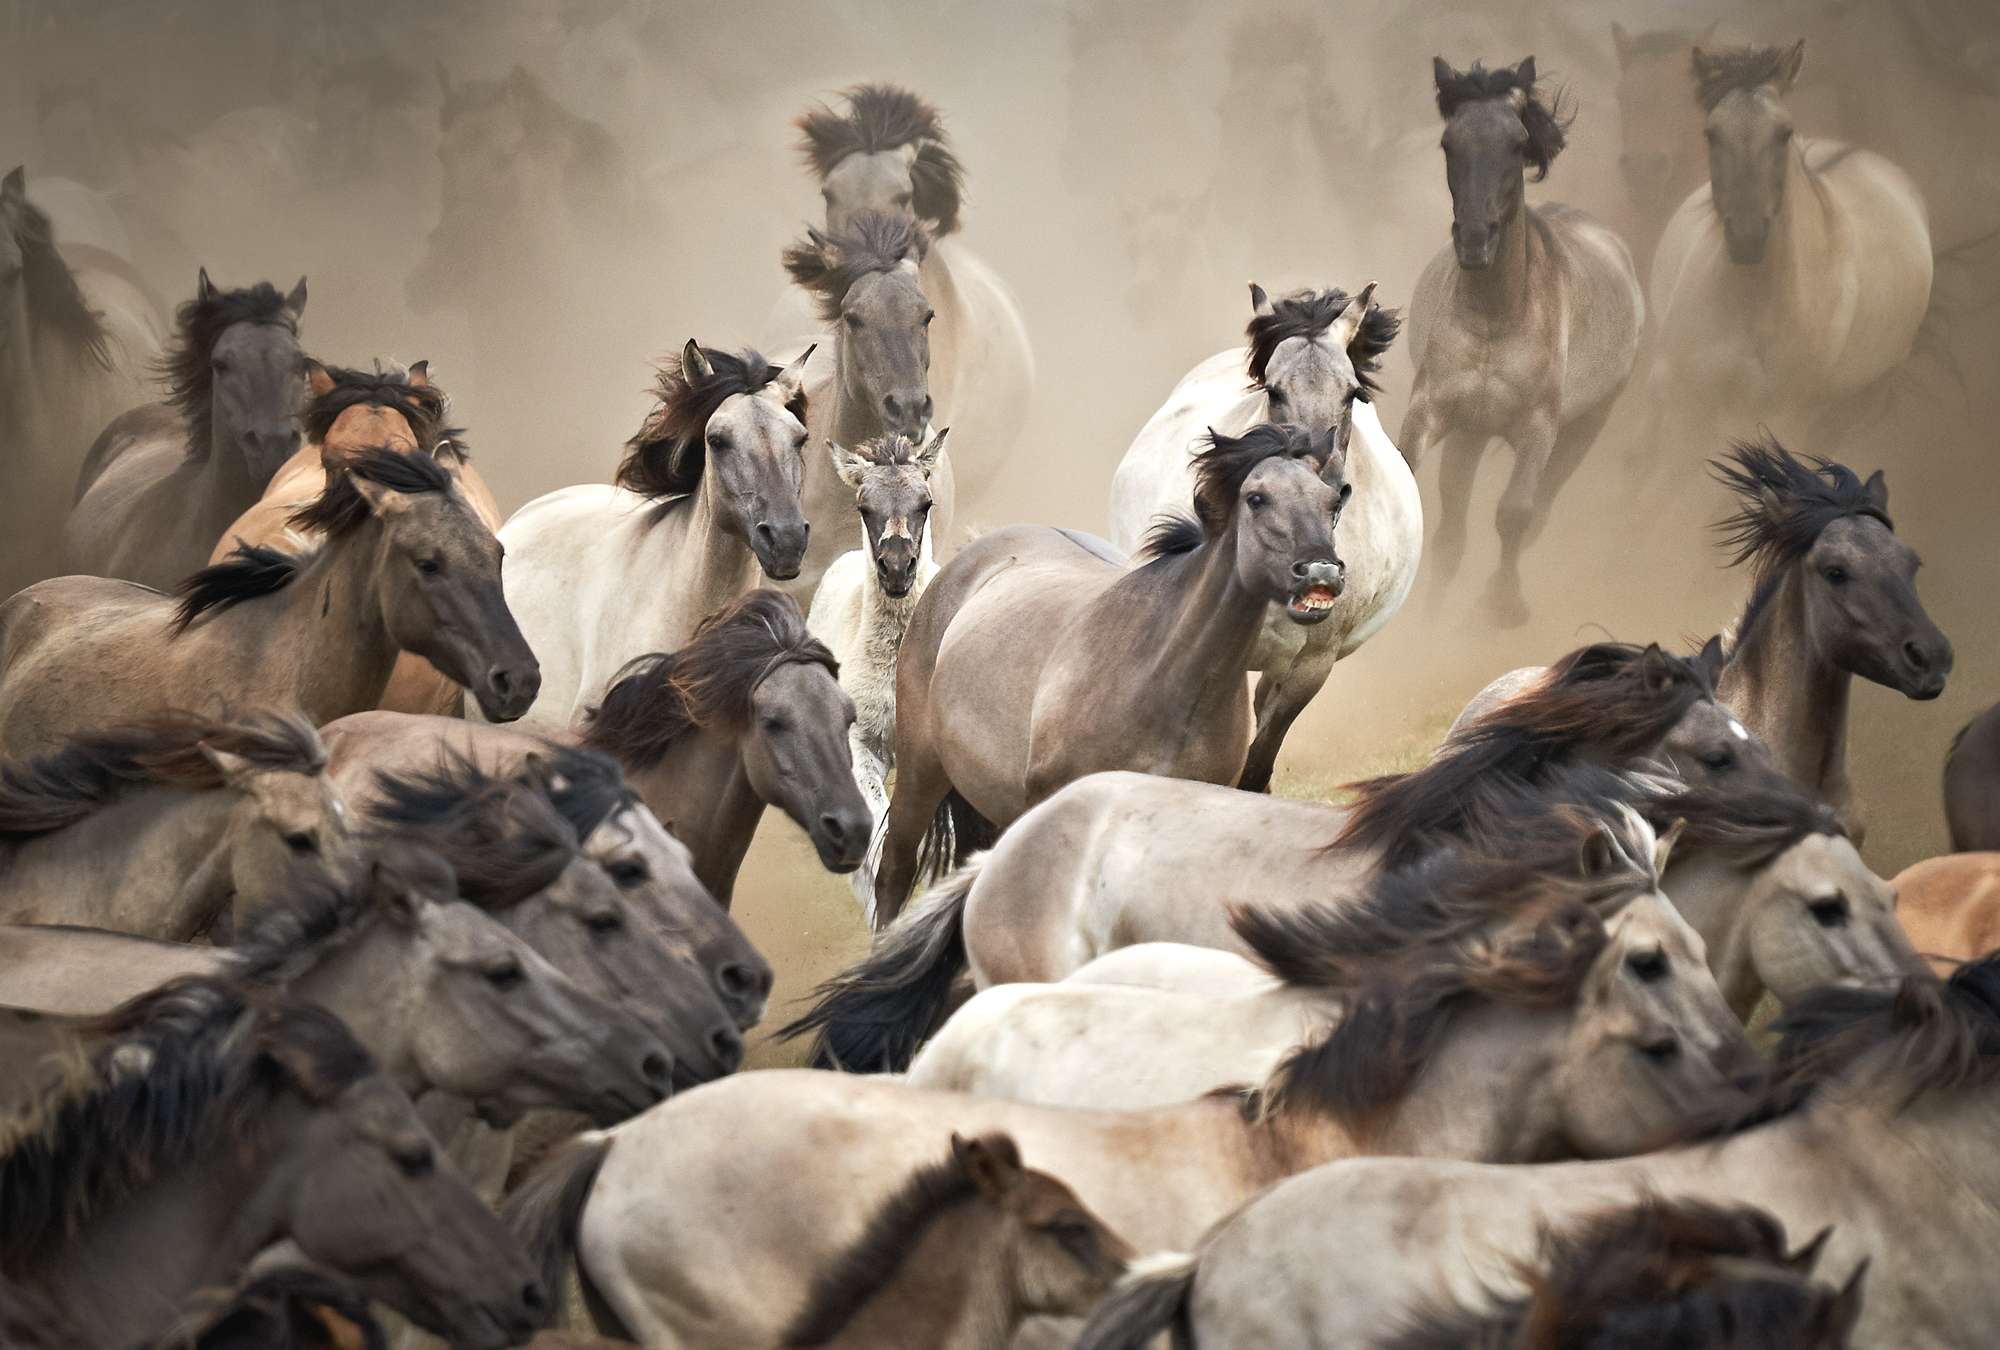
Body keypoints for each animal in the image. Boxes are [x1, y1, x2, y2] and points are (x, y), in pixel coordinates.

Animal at [871, 423, 1349, 927]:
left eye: (1331, 501)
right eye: (1257, 498)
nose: (1321, 571)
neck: (1163, 680)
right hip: (921, 767)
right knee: (895, 870)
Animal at [1401, 58, 1644, 626]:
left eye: (1516, 142)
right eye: (1449, 142)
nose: (1474, 239)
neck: (1495, 317)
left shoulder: (1538, 428)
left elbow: (1515, 514)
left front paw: (1501, 606)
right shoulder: (1435, 409)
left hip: (1585, 426)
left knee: (1540, 511)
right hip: (1470, 434)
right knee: (1452, 536)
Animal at [1643, 42, 1933, 460]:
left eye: (1784, 133)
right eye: (1711, 134)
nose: (1747, 237)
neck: (1751, 303)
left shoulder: (1779, 418)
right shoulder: (1684, 399)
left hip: (1853, 409)